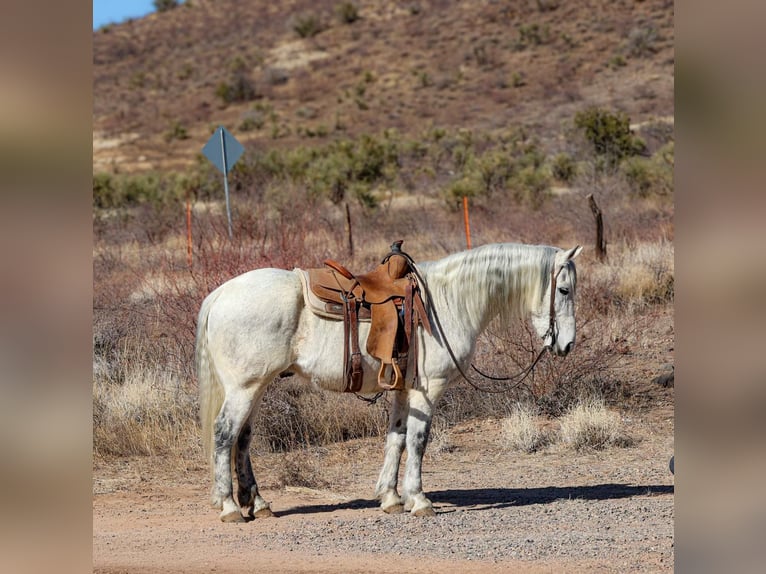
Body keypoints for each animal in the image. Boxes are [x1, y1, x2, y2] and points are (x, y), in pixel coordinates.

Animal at [196, 242, 582, 522]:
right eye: (564, 290)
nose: (567, 345)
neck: (449, 301)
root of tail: (220, 294)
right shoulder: (428, 390)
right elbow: (418, 441)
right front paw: (420, 499)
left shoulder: (402, 389)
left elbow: (396, 438)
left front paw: (391, 497)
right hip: (244, 388)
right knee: (225, 434)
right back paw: (230, 506)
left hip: (256, 387)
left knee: (243, 439)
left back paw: (257, 503)